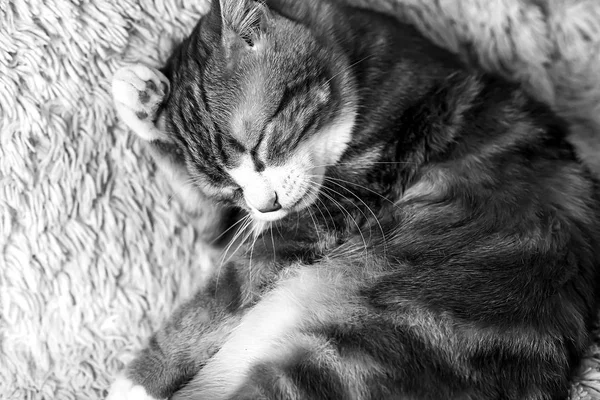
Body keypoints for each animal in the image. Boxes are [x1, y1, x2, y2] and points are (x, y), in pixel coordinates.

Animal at [106, 0, 600, 396]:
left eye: (258, 144)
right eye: (226, 184)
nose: (266, 205)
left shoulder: (313, 222)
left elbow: (214, 300)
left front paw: (138, 381)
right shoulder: (236, 227)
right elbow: (203, 214)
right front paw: (143, 98)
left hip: (325, 369)